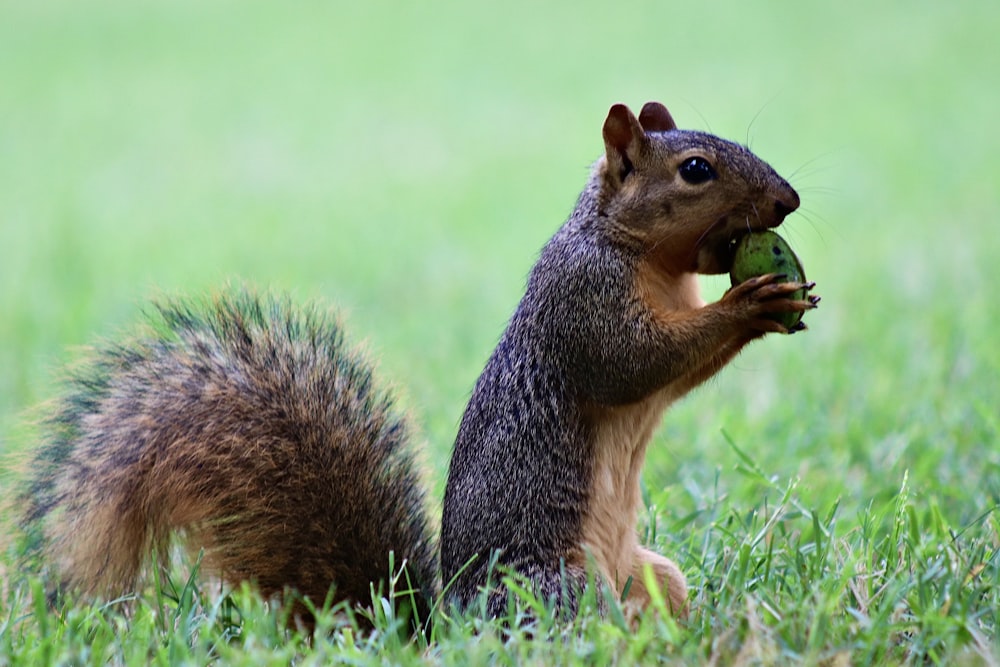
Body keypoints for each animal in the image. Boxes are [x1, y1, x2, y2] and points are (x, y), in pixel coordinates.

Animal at [11, 102, 816, 628]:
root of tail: (445, 629)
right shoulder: (581, 300)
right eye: (695, 170)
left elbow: (673, 376)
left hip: (652, 578)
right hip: (560, 588)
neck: (641, 254)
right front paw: (749, 303)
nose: (790, 198)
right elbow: (634, 362)